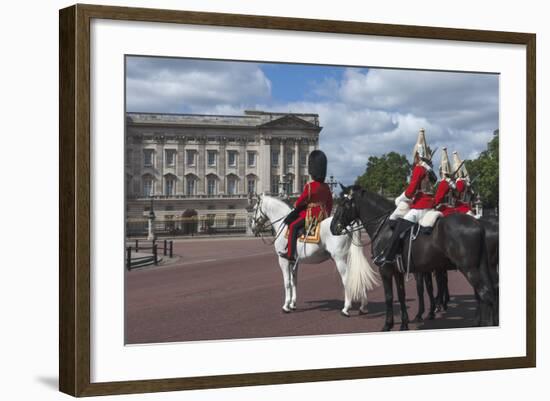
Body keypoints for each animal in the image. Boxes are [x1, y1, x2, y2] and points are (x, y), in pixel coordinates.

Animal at [249, 194, 382, 316]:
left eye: (254, 208)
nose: (253, 228)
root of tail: (348, 225)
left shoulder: (283, 260)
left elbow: (287, 283)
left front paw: (286, 306)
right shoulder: (294, 261)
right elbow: (294, 281)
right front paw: (292, 304)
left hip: (340, 259)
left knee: (347, 279)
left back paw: (346, 308)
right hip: (348, 258)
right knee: (357, 276)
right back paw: (363, 307)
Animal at [332, 186, 500, 330]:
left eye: (343, 203)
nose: (333, 227)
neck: (384, 226)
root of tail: (478, 224)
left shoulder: (385, 269)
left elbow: (390, 296)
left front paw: (388, 325)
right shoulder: (399, 270)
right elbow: (402, 295)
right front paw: (404, 324)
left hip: (470, 269)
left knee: (485, 294)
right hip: (482, 267)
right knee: (489, 293)